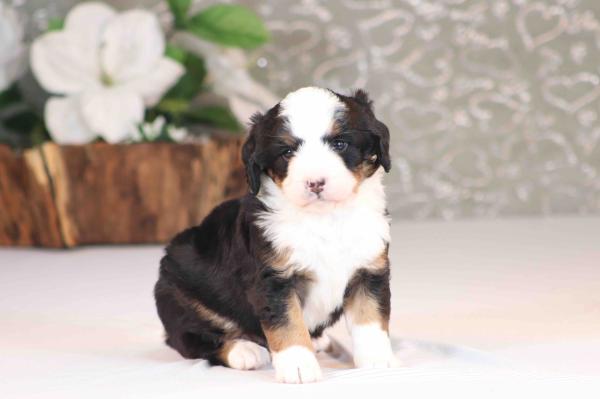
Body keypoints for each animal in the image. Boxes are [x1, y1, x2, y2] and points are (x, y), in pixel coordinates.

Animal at [155, 86, 398, 384]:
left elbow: (370, 320)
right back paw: (244, 350)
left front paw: (378, 360)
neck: (325, 219)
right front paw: (299, 366)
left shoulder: (369, 271)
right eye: (287, 151)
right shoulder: (274, 280)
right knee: (190, 339)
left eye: (340, 144)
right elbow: (287, 323)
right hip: (181, 297)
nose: (315, 182)